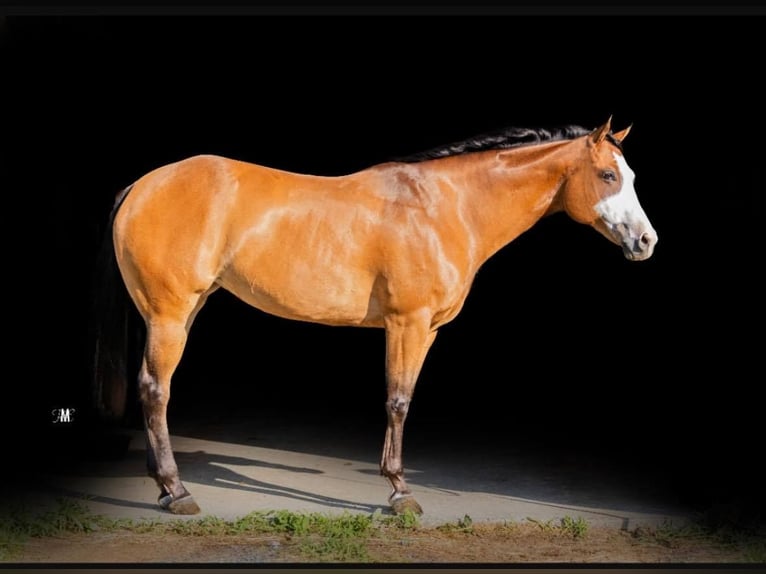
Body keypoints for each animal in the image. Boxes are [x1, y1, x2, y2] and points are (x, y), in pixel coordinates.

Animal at [94, 116, 660, 516]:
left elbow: (403, 398)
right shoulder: (406, 323)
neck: (445, 207)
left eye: (630, 175)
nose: (645, 242)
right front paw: (400, 492)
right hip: (170, 313)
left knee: (153, 389)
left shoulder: (427, 331)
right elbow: (397, 401)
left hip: (184, 311)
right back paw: (177, 491)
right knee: (156, 390)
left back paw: (163, 485)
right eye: (607, 175)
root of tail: (141, 185)